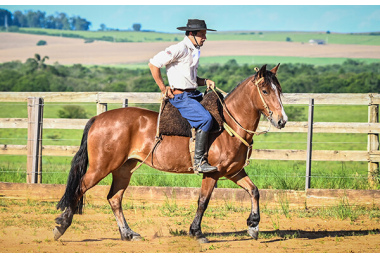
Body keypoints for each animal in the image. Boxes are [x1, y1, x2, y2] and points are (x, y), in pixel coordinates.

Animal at [53, 63, 288, 244]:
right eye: (265, 91)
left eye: (280, 90)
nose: (282, 120)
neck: (227, 125)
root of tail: (98, 119)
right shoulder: (211, 173)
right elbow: (203, 201)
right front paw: (197, 232)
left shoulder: (234, 172)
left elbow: (254, 191)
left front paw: (253, 225)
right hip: (101, 167)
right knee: (79, 189)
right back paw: (61, 225)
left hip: (123, 169)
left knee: (114, 198)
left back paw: (128, 233)